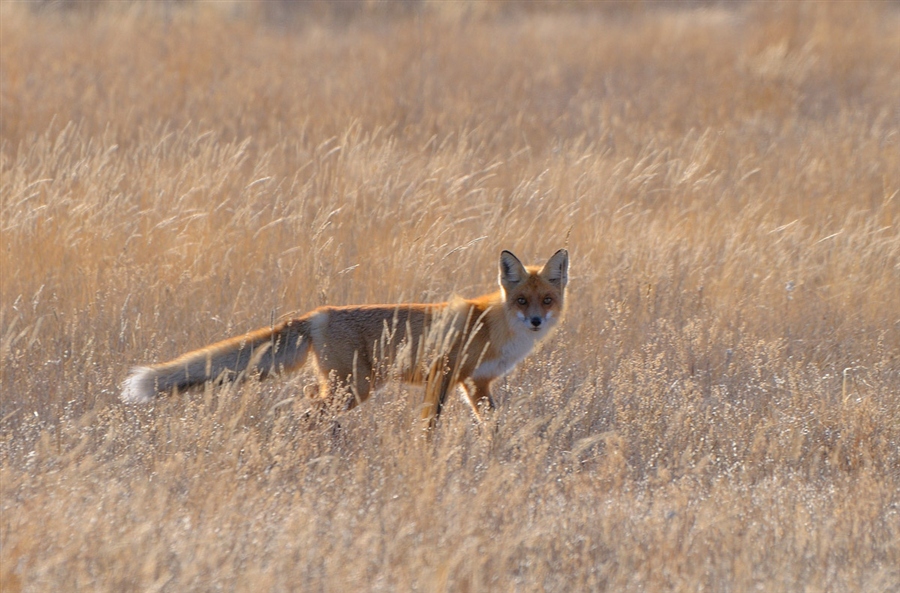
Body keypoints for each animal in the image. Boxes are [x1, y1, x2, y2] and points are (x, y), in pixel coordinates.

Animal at [122, 249, 568, 426]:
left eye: (546, 299)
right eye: (522, 300)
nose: (535, 321)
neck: (495, 326)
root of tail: (318, 315)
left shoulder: (476, 383)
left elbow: (492, 425)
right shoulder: (443, 374)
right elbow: (429, 427)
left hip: (344, 386)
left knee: (308, 404)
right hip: (356, 386)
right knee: (306, 413)